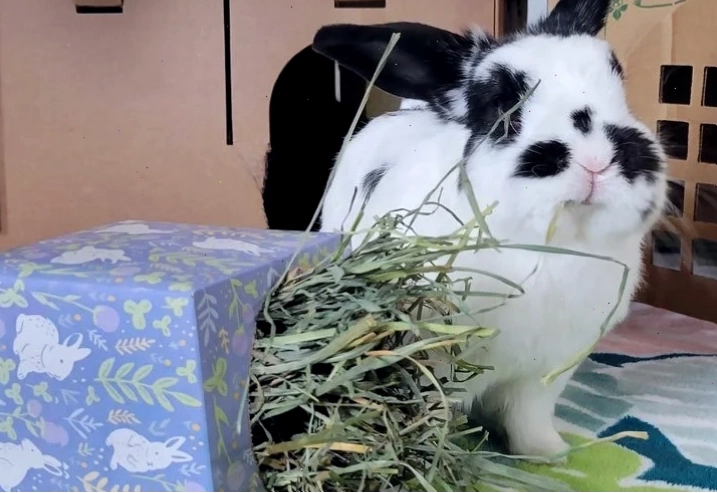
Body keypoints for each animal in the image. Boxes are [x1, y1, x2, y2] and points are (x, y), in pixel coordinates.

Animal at [312, 0, 668, 460]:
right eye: (502, 106)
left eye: (618, 82)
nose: (597, 161)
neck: (550, 249)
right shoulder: (435, 361)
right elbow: (434, 410)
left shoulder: (545, 374)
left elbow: (528, 419)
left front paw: (548, 454)